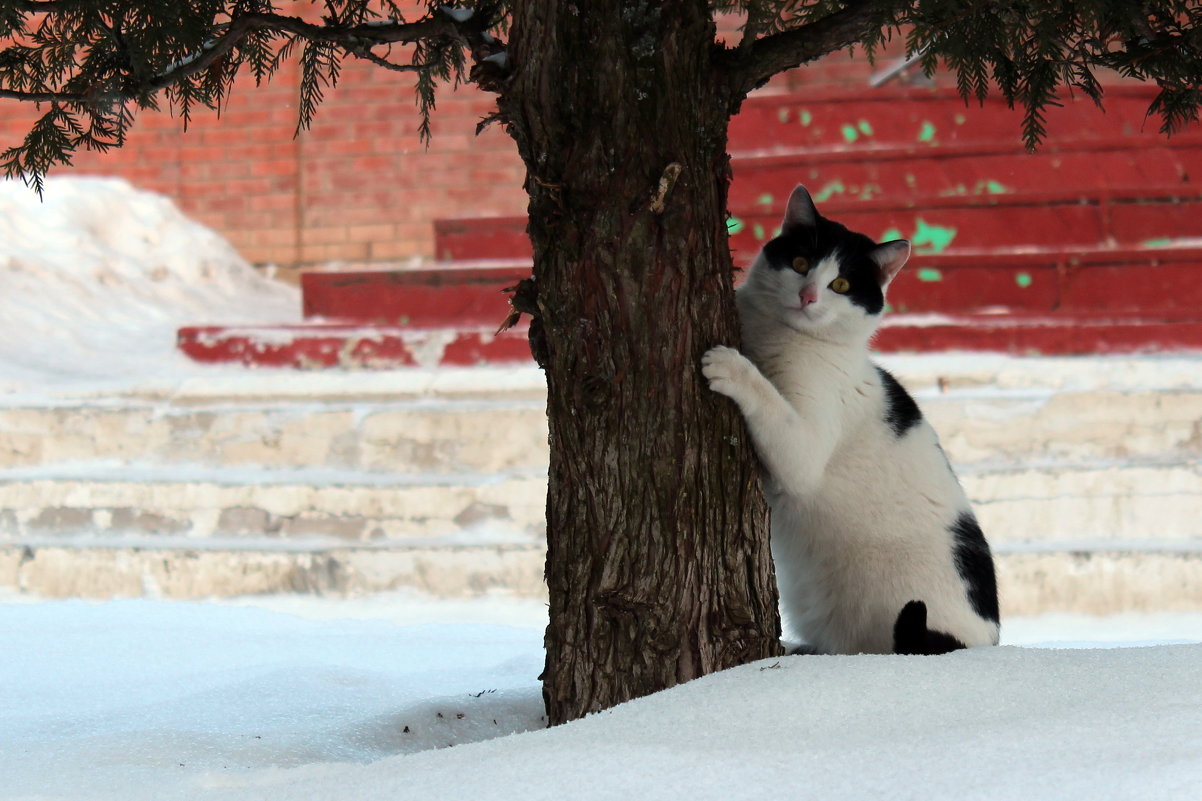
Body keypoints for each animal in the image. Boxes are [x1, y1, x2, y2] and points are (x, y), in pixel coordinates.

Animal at [701, 184, 1000, 654]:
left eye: (840, 285)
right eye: (800, 263)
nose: (807, 296)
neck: (775, 338)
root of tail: (982, 642)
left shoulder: (804, 449)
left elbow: (767, 399)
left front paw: (731, 367)